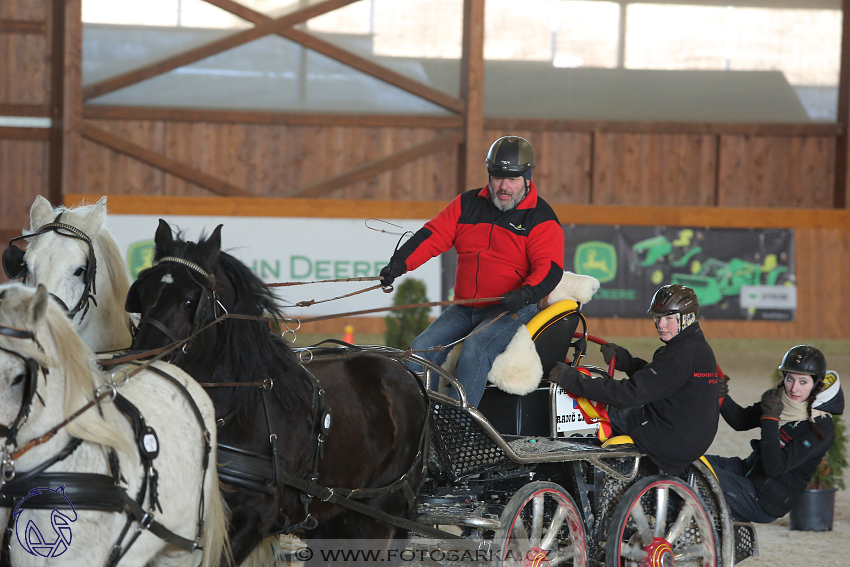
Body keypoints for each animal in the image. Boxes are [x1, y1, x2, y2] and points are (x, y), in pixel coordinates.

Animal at [124, 220, 430, 564]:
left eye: (190, 300)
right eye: (142, 294)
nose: (141, 360)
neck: (238, 409)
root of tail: (408, 374)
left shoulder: (254, 517)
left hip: (373, 516)